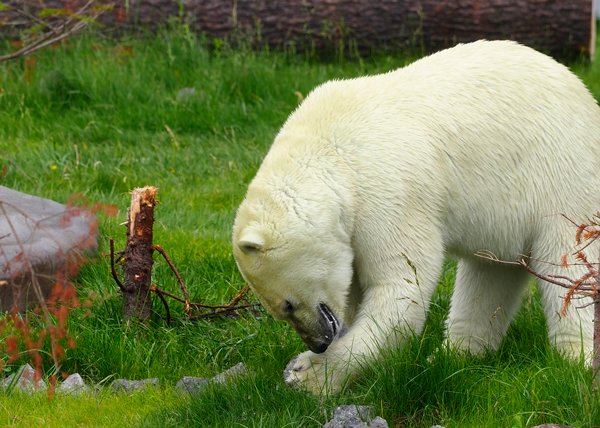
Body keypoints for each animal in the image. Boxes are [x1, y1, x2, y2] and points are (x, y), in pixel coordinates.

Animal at [232, 41, 600, 394]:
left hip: (561, 176)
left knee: (568, 265)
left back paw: (574, 358)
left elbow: (401, 285)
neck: (329, 153)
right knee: (489, 274)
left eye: (287, 305)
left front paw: (309, 377)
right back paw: (455, 353)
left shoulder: (385, 190)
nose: (320, 342)